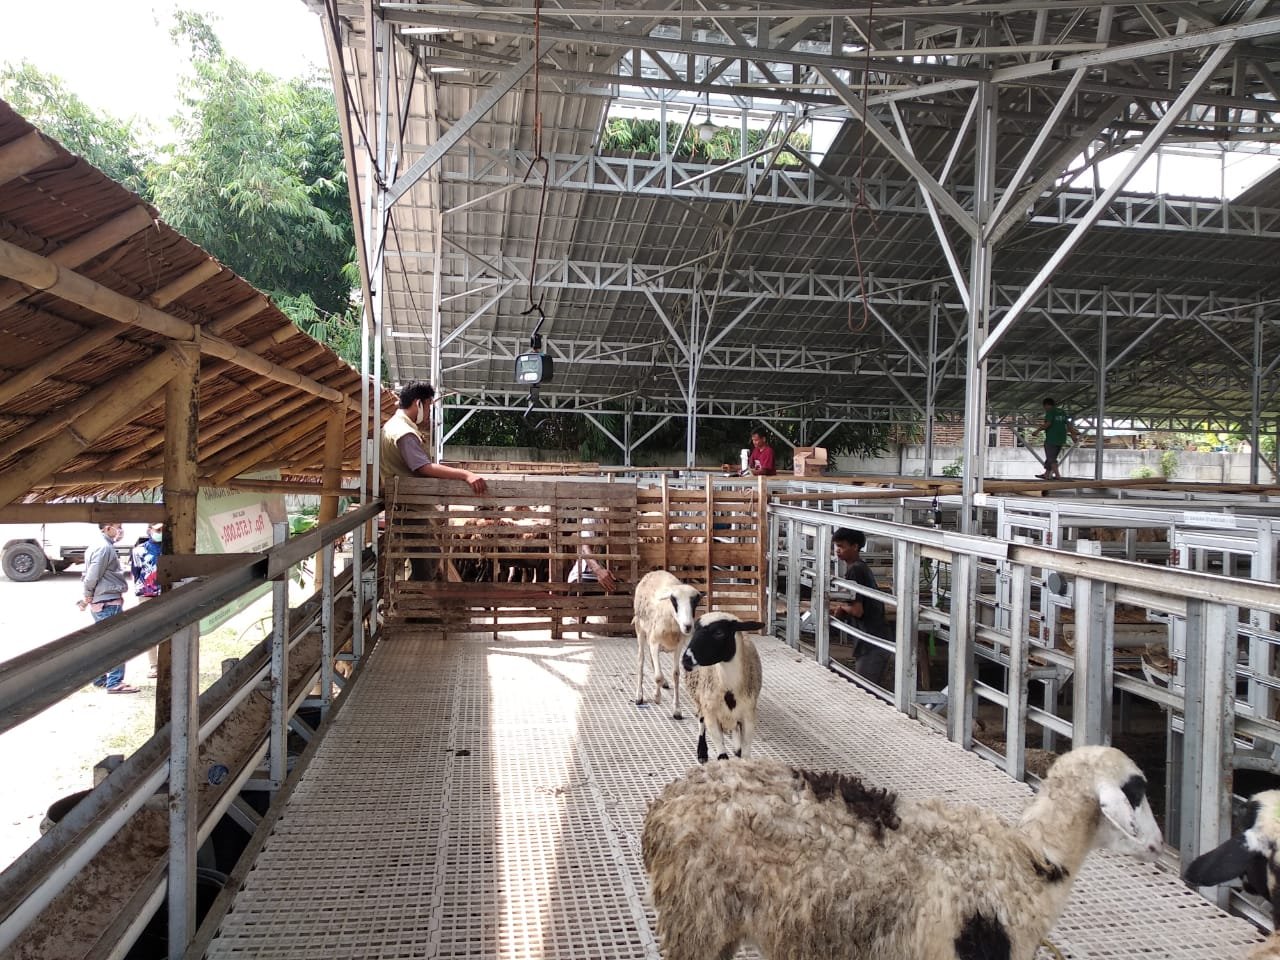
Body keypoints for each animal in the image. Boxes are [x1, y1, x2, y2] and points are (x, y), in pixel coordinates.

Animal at [632, 570, 702, 720]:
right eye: (674, 600)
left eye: (695, 602)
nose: (688, 626)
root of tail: (654, 572)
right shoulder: (654, 642)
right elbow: (657, 676)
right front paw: (657, 697)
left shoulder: (678, 647)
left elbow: (675, 674)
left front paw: (677, 710)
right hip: (640, 630)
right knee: (641, 660)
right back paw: (639, 696)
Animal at [680, 612, 763, 763]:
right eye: (695, 630)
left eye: (719, 632)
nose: (686, 660)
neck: (730, 691)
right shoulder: (711, 715)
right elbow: (722, 756)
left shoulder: (748, 717)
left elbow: (745, 754)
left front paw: (740, 753)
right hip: (700, 700)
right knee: (701, 722)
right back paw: (702, 753)